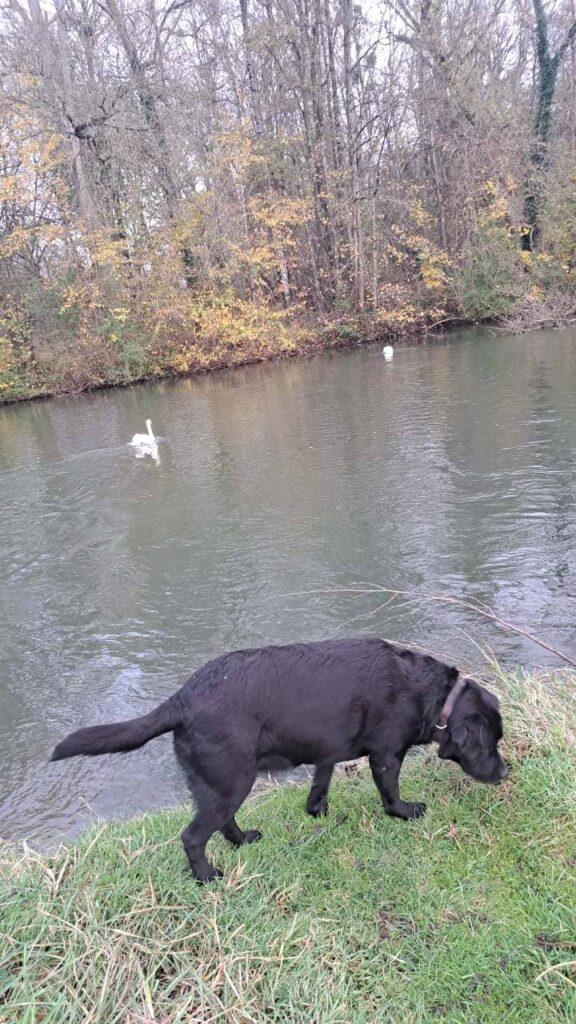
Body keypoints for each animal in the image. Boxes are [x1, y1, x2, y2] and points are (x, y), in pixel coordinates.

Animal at [51, 638, 504, 880]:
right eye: (492, 742)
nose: (505, 772)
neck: (431, 694)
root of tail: (180, 699)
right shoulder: (387, 755)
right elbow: (390, 794)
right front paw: (407, 812)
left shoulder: (327, 753)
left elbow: (320, 784)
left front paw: (318, 812)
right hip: (232, 779)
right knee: (193, 836)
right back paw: (207, 877)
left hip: (222, 784)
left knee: (223, 824)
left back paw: (243, 841)